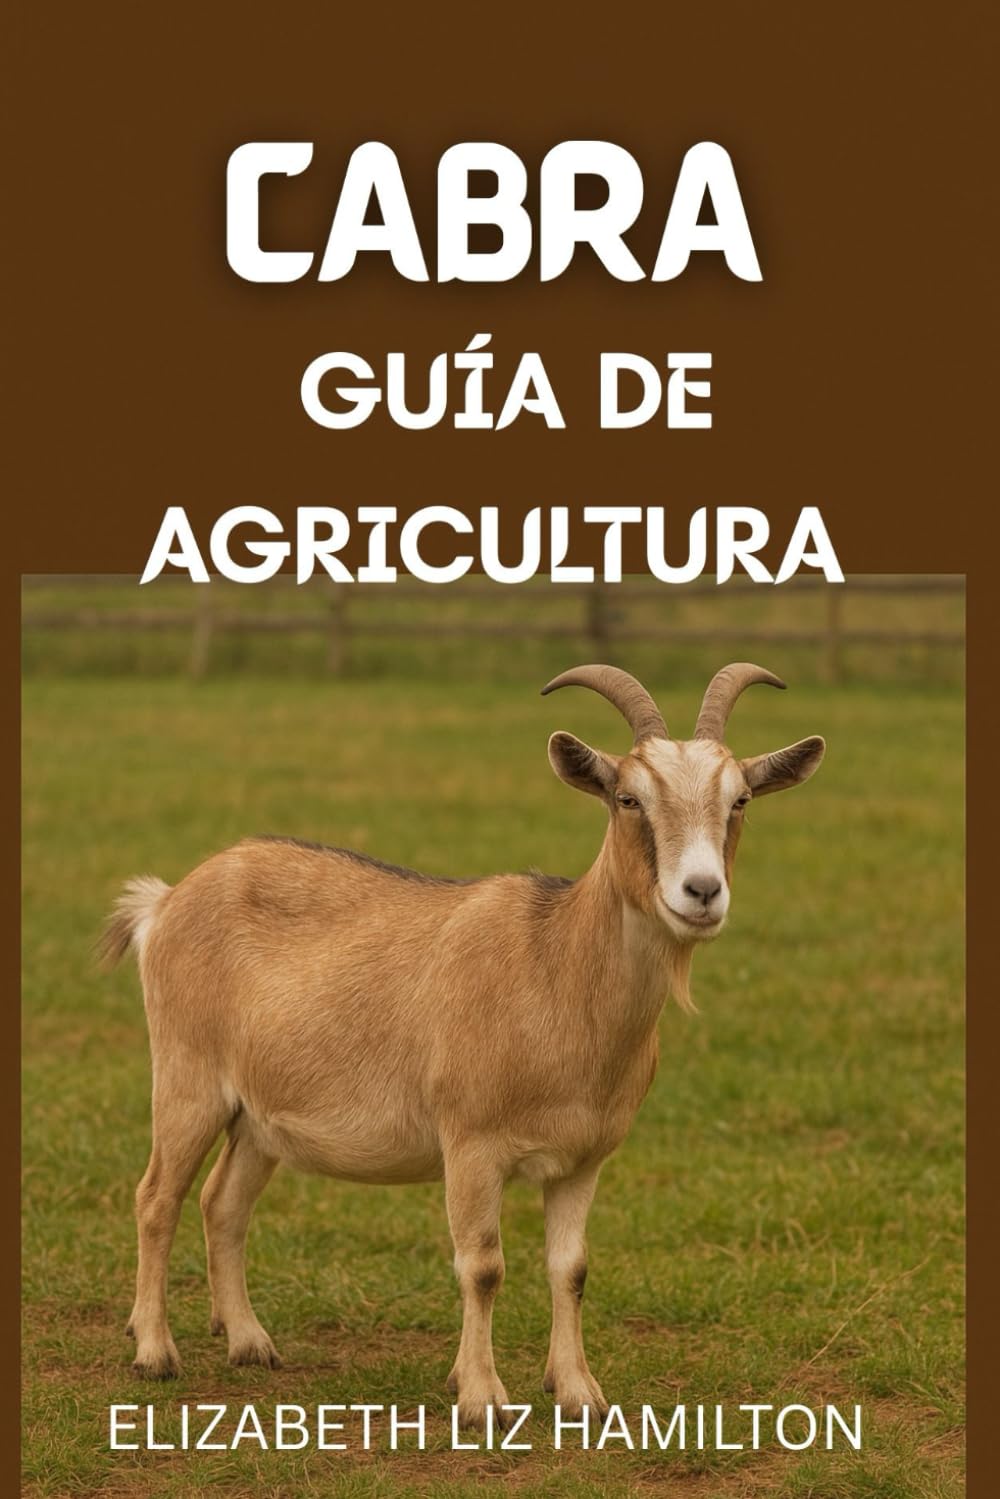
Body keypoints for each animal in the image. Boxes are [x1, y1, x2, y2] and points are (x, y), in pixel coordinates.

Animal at [101, 663, 824, 1427]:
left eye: (739, 799)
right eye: (628, 797)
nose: (702, 891)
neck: (556, 970)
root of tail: (165, 901)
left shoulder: (583, 1159)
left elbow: (571, 1268)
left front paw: (579, 1392)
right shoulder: (472, 1143)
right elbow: (482, 1266)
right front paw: (482, 1397)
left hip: (260, 1117)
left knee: (223, 1203)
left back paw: (248, 1340)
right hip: (187, 1077)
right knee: (157, 1197)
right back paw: (154, 1351)